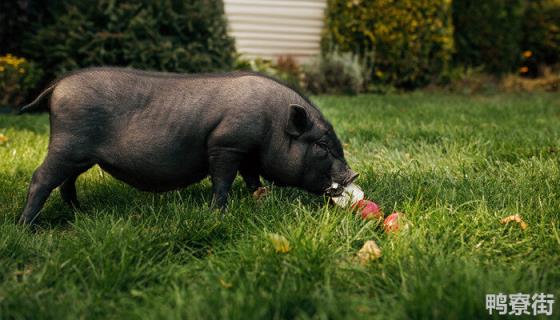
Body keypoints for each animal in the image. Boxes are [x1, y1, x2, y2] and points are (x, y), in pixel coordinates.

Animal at [18, 67, 358, 224]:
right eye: (322, 146)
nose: (353, 175)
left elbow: (252, 177)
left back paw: (81, 212)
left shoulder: (247, 153)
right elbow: (222, 181)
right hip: (67, 144)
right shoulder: (227, 144)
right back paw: (27, 226)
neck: (272, 123)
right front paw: (218, 214)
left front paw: (262, 199)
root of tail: (58, 85)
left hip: (81, 155)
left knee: (66, 182)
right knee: (41, 178)